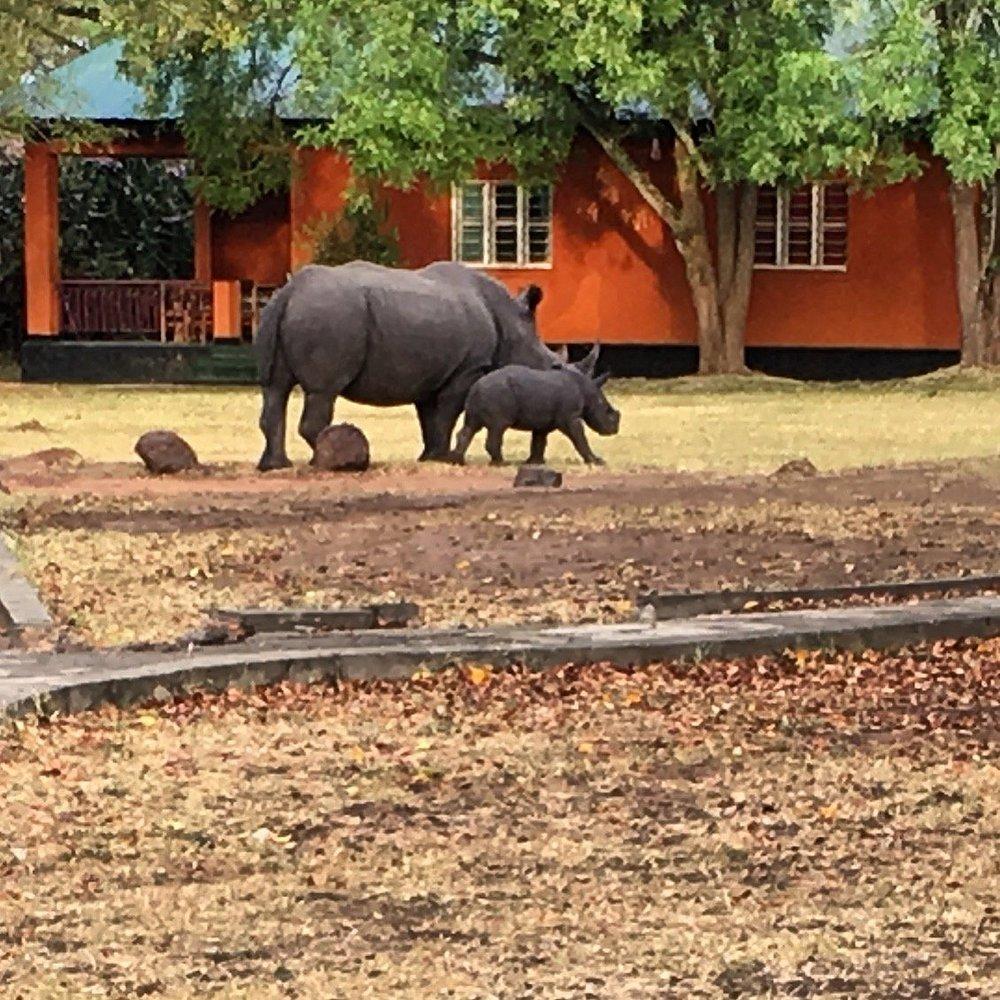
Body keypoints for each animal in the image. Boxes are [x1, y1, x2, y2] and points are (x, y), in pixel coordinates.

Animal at [254, 261, 564, 471]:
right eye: (550, 362)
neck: (509, 322)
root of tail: (289, 291)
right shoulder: (467, 369)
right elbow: (448, 412)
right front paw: (441, 457)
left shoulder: (432, 375)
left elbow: (430, 417)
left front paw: (428, 457)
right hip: (329, 315)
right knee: (323, 392)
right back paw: (341, 460)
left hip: (288, 312)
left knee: (275, 388)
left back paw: (276, 465)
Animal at [451, 345, 620, 466]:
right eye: (608, 413)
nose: (614, 430)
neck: (590, 394)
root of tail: (475, 388)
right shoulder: (570, 418)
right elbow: (579, 438)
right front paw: (597, 461)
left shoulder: (543, 420)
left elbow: (539, 440)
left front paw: (535, 462)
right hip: (497, 394)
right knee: (498, 427)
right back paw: (502, 463)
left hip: (481, 397)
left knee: (471, 426)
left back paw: (458, 461)